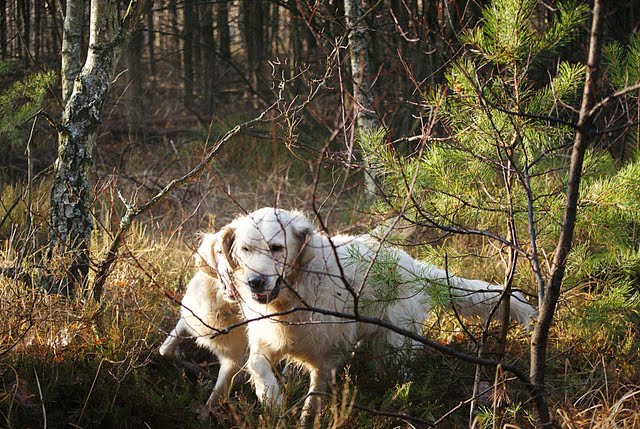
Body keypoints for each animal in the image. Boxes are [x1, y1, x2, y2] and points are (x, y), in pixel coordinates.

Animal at [159, 231, 247, 413]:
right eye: (220, 252)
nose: (232, 274)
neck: (223, 307)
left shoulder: (232, 359)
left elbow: (214, 398)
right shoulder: (188, 319)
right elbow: (165, 350)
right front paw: (192, 366)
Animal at [218, 207, 537, 418]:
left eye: (276, 248)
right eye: (245, 249)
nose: (255, 282)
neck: (293, 296)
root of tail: (416, 267)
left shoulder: (327, 357)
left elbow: (315, 396)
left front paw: (307, 415)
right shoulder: (265, 341)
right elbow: (257, 366)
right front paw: (270, 398)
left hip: (392, 348)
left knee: (399, 376)